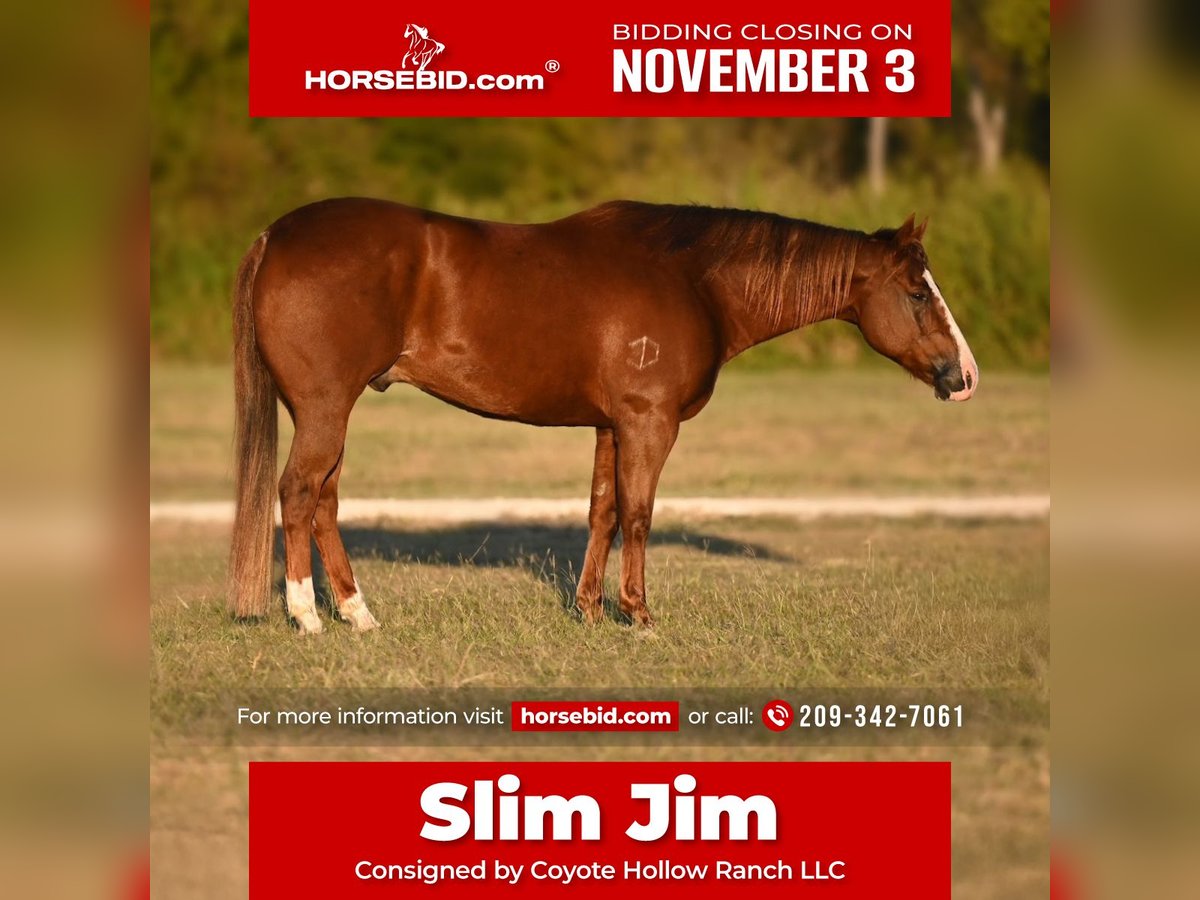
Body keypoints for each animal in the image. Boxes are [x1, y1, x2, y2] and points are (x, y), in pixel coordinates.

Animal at [228, 199, 979, 634]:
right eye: (917, 292)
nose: (964, 377)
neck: (691, 280)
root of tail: (275, 234)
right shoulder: (650, 423)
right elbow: (639, 514)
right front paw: (638, 614)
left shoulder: (612, 426)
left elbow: (602, 512)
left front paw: (589, 609)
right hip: (326, 407)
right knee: (298, 493)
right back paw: (306, 617)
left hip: (329, 411)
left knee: (323, 501)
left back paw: (358, 614)